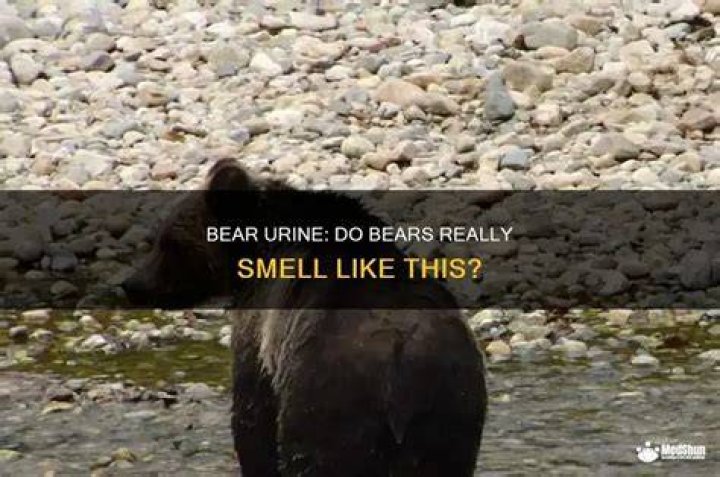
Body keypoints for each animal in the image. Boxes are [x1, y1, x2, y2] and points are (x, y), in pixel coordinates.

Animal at [122, 159, 487, 476]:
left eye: (167, 242)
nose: (131, 284)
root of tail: (400, 367)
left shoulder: (262, 328)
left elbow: (252, 416)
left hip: (330, 394)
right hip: (450, 408)